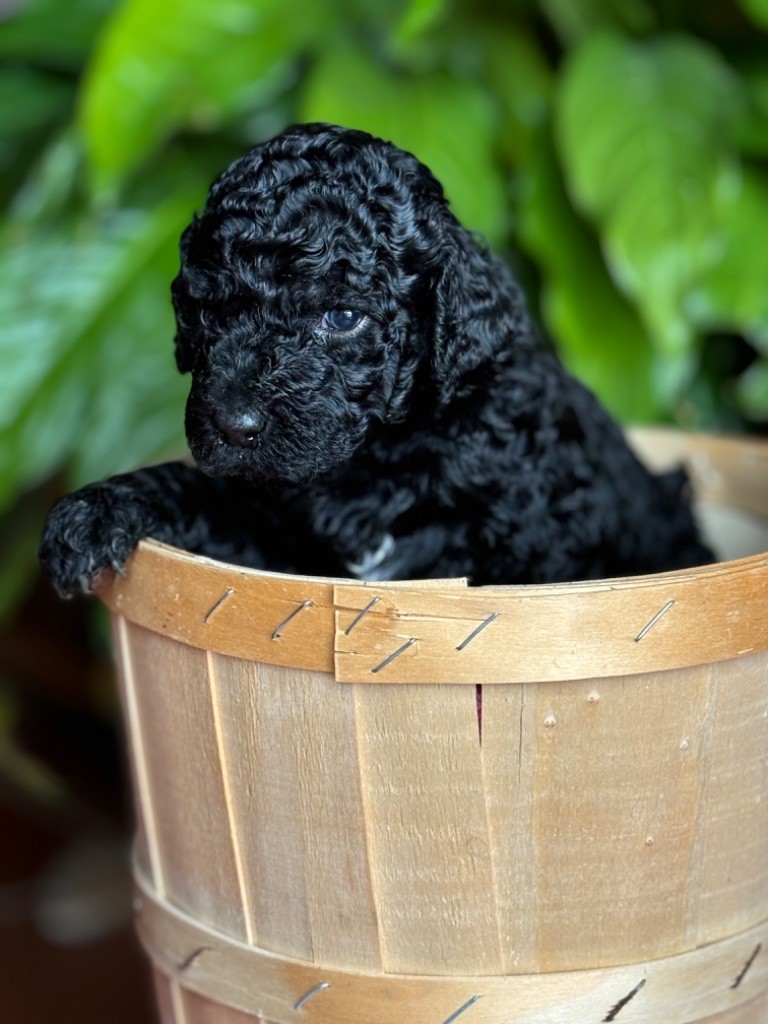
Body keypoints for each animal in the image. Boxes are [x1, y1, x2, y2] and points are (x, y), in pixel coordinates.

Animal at [39, 123, 716, 598]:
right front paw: (95, 511)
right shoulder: (274, 529)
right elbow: (204, 492)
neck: (375, 463)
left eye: (342, 317)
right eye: (208, 310)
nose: (231, 426)